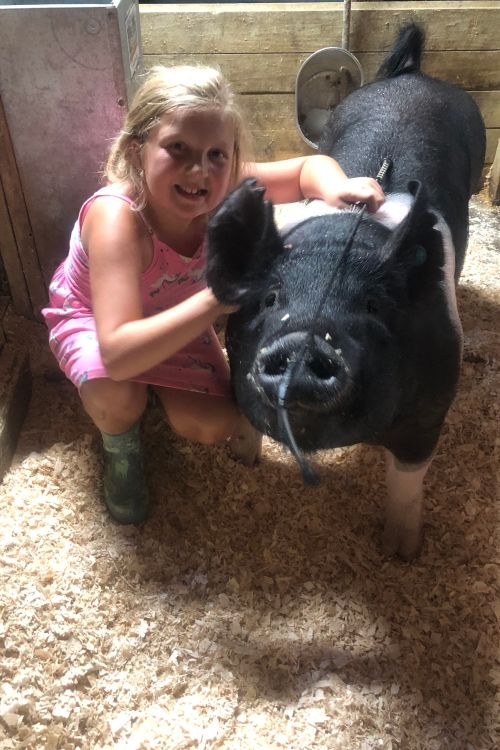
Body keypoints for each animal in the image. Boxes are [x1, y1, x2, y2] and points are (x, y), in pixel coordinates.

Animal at [206, 23, 484, 560]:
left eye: (373, 306)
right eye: (271, 299)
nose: (303, 342)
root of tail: (414, 75)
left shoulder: (432, 407)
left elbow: (407, 480)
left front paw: (402, 553)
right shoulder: (236, 361)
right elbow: (244, 421)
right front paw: (241, 461)